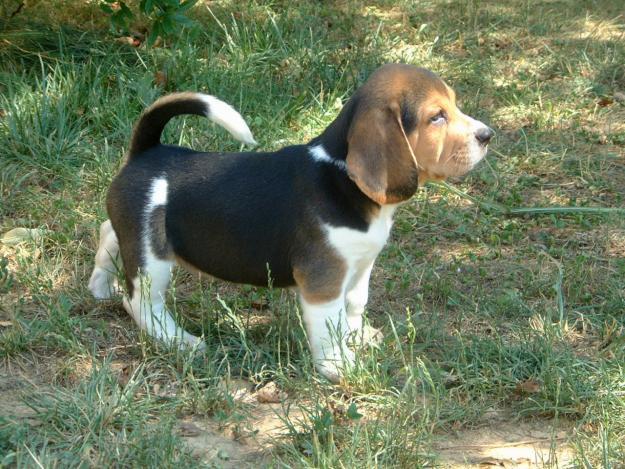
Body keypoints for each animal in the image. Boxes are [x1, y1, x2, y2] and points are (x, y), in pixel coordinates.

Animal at [88, 64, 492, 382]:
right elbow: (328, 325)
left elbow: (355, 305)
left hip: (132, 233)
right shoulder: (323, 280)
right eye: (436, 116)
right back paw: (180, 341)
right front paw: (338, 366)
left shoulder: (361, 265)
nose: (487, 135)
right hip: (152, 258)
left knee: (109, 233)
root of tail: (148, 151)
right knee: (142, 304)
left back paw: (100, 286)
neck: (341, 175)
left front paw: (358, 337)